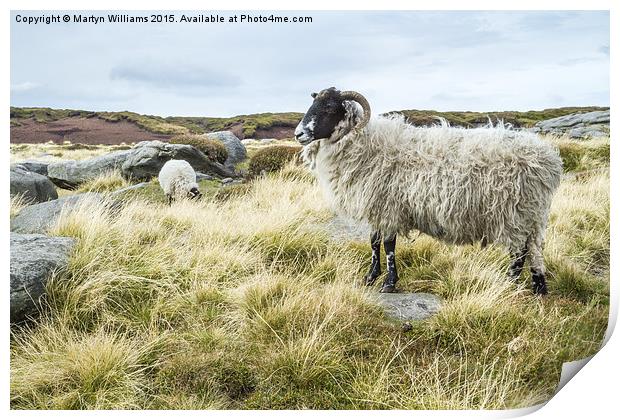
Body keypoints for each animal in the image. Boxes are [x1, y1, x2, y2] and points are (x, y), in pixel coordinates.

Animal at [294, 87, 560, 294]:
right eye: (313, 104)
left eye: (330, 108)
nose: (299, 134)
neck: (367, 144)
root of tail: (548, 160)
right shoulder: (378, 207)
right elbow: (374, 243)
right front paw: (370, 277)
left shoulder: (390, 207)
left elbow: (389, 246)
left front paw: (389, 283)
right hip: (531, 214)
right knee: (534, 249)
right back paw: (538, 287)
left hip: (515, 212)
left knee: (519, 252)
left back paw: (510, 285)